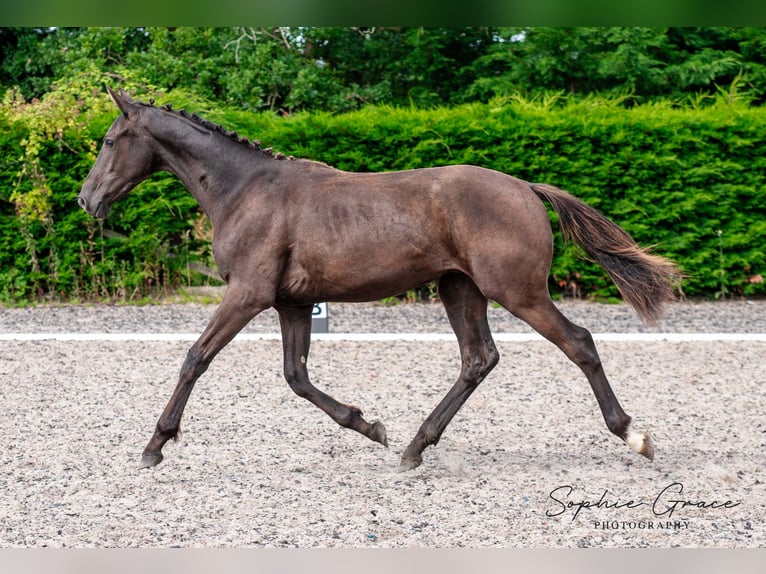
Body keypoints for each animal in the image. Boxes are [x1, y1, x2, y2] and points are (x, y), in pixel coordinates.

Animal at [76, 88, 680, 470]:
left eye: (108, 141)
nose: (87, 200)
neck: (246, 190)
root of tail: (527, 188)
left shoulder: (247, 294)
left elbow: (195, 358)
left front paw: (155, 445)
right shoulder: (292, 303)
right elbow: (296, 376)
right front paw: (370, 426)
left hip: (518, 292)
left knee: (578, 343)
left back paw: (635, 436)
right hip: (459, 288)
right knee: (478, 358)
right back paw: (414, 447)